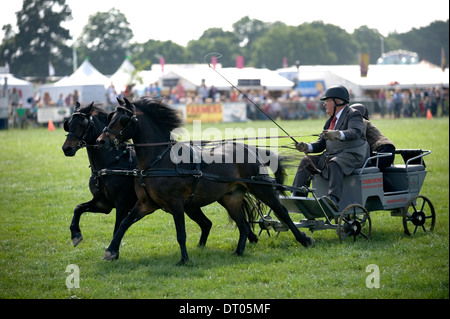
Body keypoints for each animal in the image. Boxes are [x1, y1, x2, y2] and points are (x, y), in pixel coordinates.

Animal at [62, 102, 137, 248]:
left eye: (83, 124)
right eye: (69, 123)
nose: (66, 148)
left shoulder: (123, 204)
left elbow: (117, 228)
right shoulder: (103, 203)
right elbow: (78, 208)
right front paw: (75, 234)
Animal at [96, 97, 312, 264]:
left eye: (123, 119)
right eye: (110, 116)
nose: (101, 141)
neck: (158, 160)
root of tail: (250, 148)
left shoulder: (176, 203)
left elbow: (181, 233)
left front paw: (184, 259)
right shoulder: (145, 204)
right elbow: (124, 223)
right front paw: (110, 251)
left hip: (261, 188)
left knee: (282, 211)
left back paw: (304, 239)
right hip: (230, 198)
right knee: (242, 224)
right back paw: (238, 251)